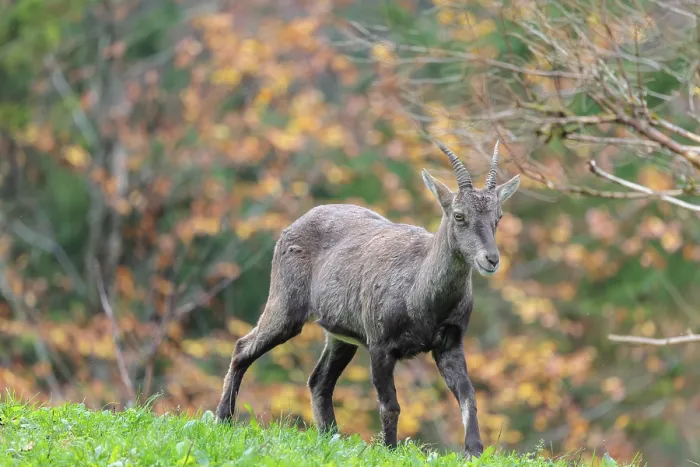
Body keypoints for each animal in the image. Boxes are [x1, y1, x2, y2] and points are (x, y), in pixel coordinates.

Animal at [216, 140, 520, 458]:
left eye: (498, 217)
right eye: (459, 215)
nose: (491, 259)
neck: (421, 296)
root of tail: (291, 227)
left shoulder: (449, 343)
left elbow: (467, 395)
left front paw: (474, 450)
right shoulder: (380, 344)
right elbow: (390, 405)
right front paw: (390, 450)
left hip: (340, 337)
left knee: (319, 381)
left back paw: (331, 437)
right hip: (286, 305)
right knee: (243, 347)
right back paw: (223, 418)